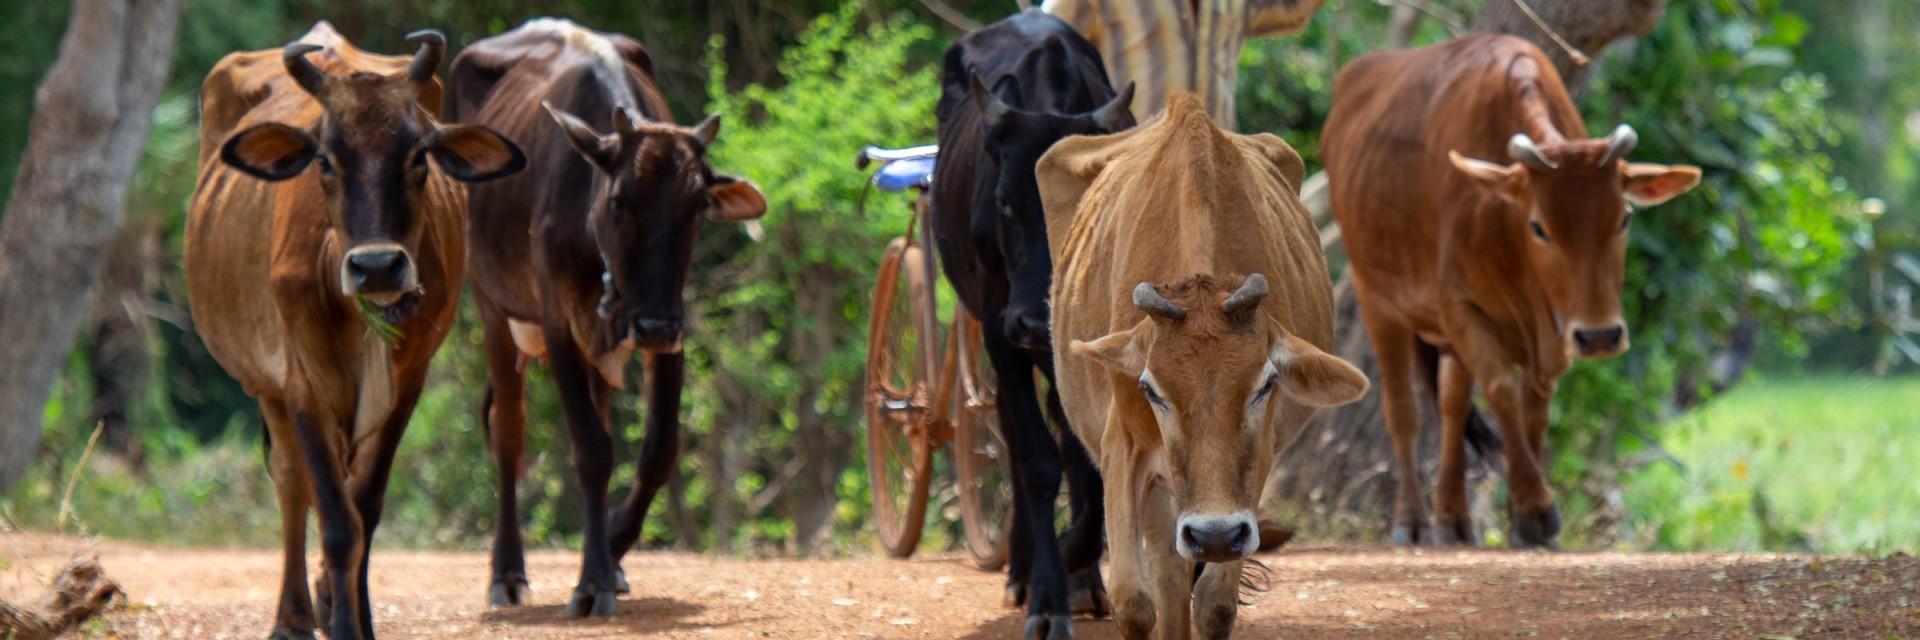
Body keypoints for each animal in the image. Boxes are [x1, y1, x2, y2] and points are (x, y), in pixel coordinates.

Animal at [186, 19, 526, 638]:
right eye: (324, 159)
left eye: (418, 155)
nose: (377, 267)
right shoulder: (302, 382)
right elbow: (335, 519)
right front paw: (339, 622)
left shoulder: (407, 383)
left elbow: (363, 509)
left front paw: (357, 619)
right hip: (266, 385)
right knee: (292, 482)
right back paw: (295, 615)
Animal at [445, 17, 768, 615]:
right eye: (620, 201)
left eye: (698, 209)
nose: (651, 327)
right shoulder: (558, 325)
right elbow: (591, 450)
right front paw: (592, 578)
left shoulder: (670, 331)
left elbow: (659, 451)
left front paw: (610, 552)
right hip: (493, 308)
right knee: (509, 434)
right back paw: (506, 573)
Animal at [933, 9, 1128, 638]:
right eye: (1003, 202)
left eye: (1082, 204)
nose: (1034, 320)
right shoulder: (999, 329)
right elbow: (1038, 462)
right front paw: (1047, 596)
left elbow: (1088, 458)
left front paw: (1078, 564)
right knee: (1019, 441)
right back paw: (1022, 572)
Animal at [1044, 94, 1374, 638]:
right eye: (1150, 389)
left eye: (1266, 384)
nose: (1214, 534)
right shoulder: (1123, 444)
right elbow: (1134, 602)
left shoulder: (1255, 463)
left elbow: (1215, 602)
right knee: (1167, 573)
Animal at [1328, 32, 1704, 549]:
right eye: (1539, 227)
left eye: (1624, 218)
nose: (1600, 336)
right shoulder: (1460, 305)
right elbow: (1503, 390)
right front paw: (1534, 511)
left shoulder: (1552, 332)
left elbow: (1533, 409)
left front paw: (1522, 513)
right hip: (1376, 301)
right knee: (1403, 409)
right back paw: (1412, 520)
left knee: (1451, 403)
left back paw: (1453, 517)